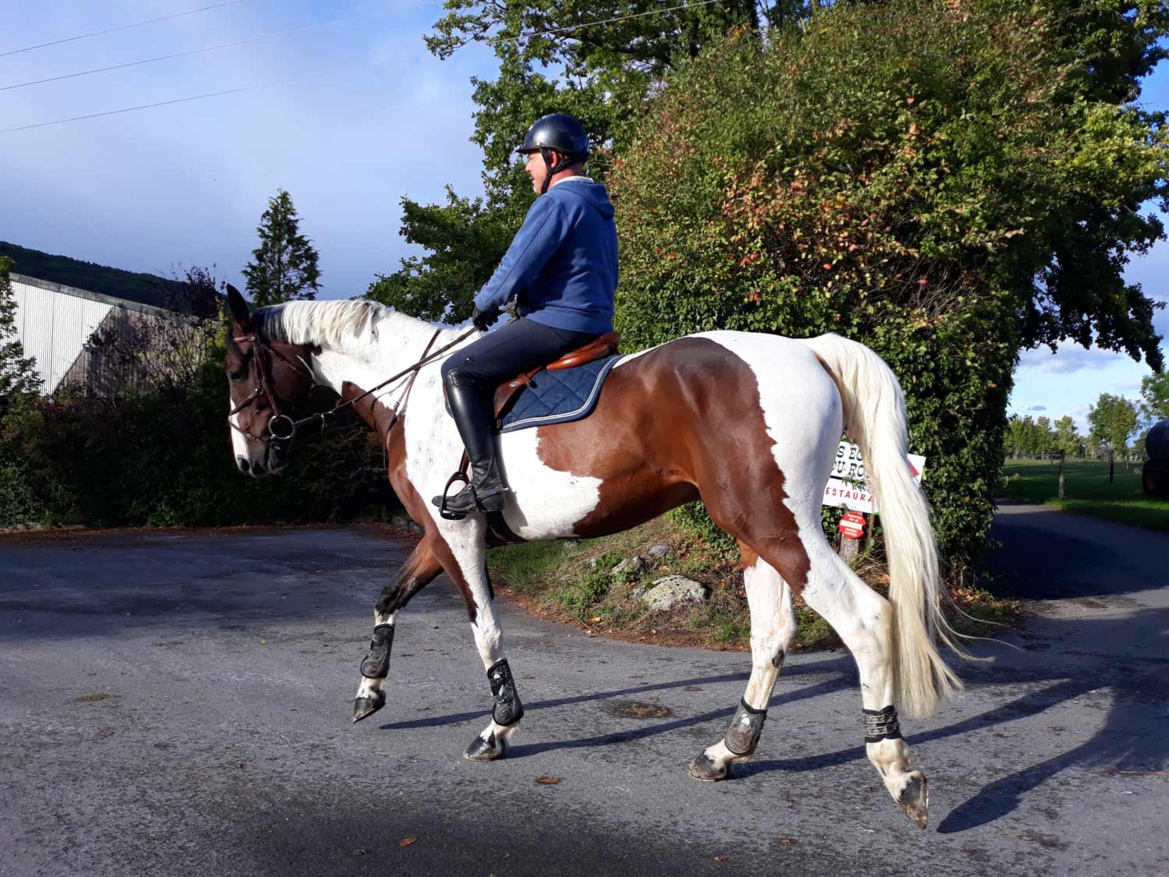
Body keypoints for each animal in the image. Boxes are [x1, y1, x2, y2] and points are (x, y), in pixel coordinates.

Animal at [223, 285, 963, 827]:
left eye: (233, 368)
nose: (248, 460)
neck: (415, 392)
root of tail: (807, 350)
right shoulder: (436, 535)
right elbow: (388, 597)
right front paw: (369, 688)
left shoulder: (456, 535)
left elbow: (483, 625)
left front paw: (499, 726)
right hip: (757, 533)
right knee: (773, 634)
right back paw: (726, 751)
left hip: (775, 525)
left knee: (866, 618)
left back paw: (897, 769)